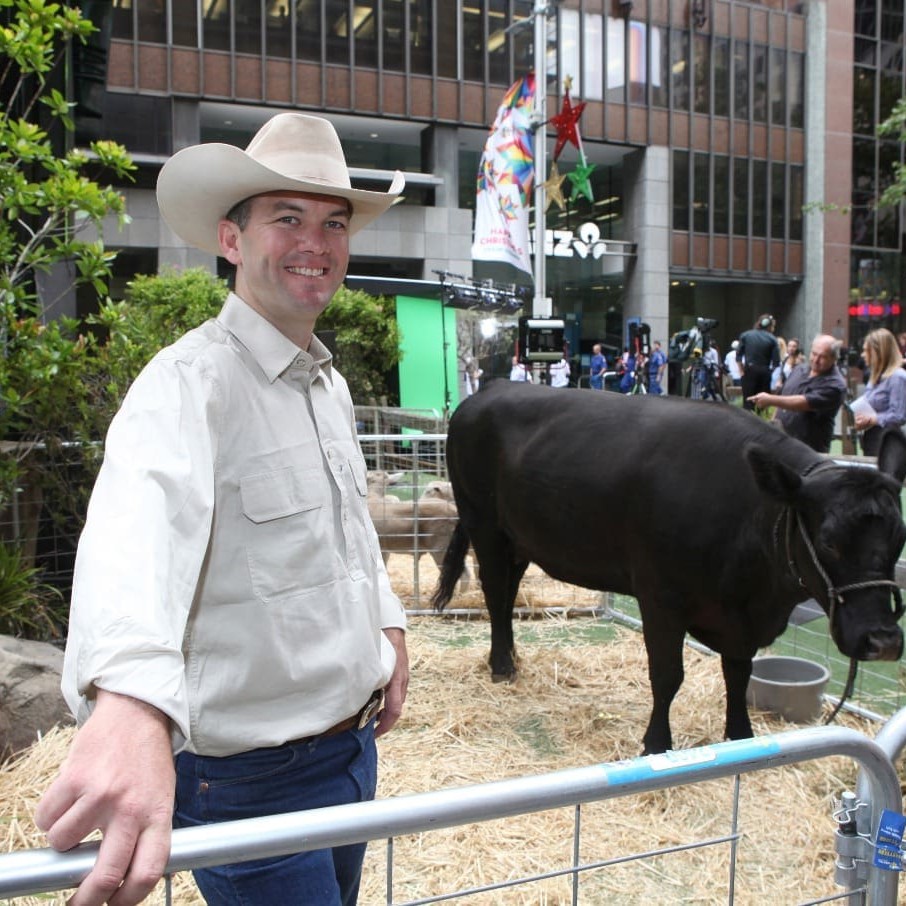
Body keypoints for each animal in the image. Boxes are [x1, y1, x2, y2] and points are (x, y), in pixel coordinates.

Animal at [432, 378, 904, 752]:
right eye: (828, 542)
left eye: (900, 537)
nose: (881, 640)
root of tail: (490, 389)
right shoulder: (660, 597)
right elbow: (667, 675)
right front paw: (657, 744)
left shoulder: (737, 618)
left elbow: (738, 672)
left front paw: (740, 737)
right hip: (483, 522)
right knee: (495, 593)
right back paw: (501, 667)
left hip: (518, 538)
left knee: (508, 593)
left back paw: (512, 658)